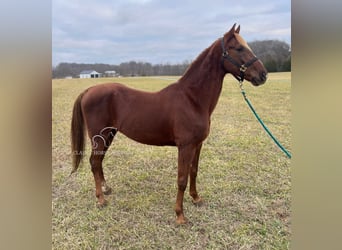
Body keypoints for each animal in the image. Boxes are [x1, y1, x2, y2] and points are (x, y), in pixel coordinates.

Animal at [69, 23, 268, 225]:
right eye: (239, 48)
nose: (263, 75)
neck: (192, 99)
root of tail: (89, 90)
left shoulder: (198, 144)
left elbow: (194, 171)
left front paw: (196, 198)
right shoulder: (185, 146)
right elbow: (182, 179)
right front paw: (180, 214)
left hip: (109, 134)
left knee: (99, 160)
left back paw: (106, 189)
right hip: (99, 136)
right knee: (94, 162)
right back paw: (101, 199)